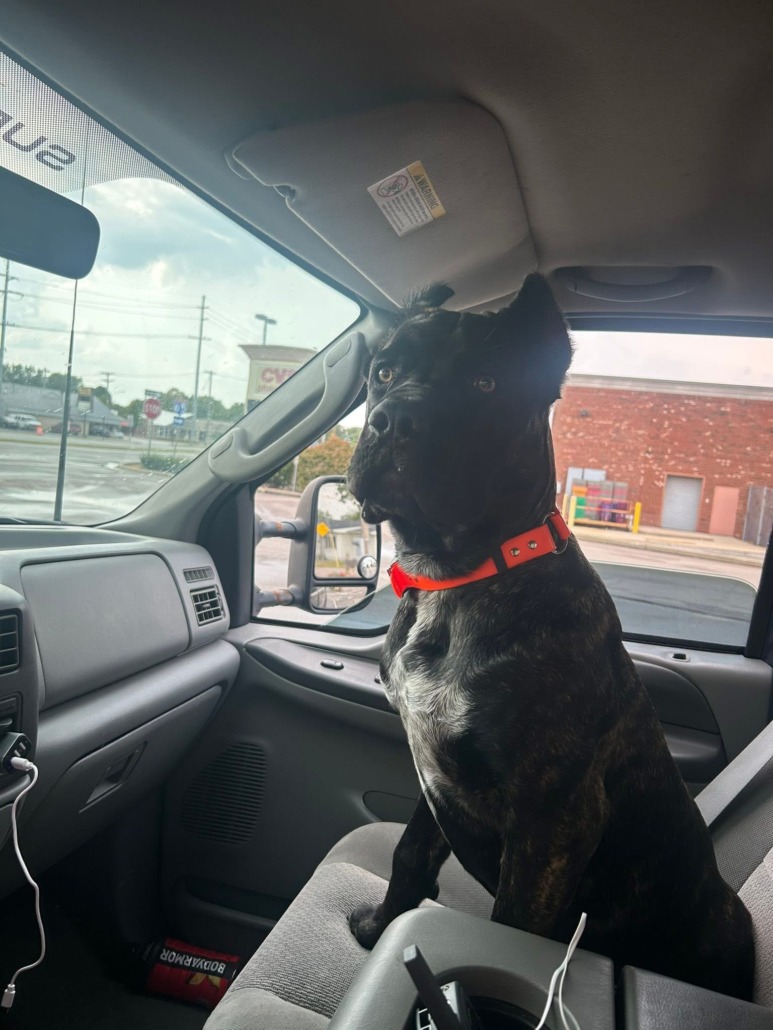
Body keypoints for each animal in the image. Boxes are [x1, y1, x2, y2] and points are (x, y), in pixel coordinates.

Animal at [346, 274, 754, 1000]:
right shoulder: (434, 775)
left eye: (485, 383)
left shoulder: (552, 822)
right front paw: (379, 927)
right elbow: (408, 853)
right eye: (383, 373)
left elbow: (510, 924)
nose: (397, 419)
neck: (460, 576)